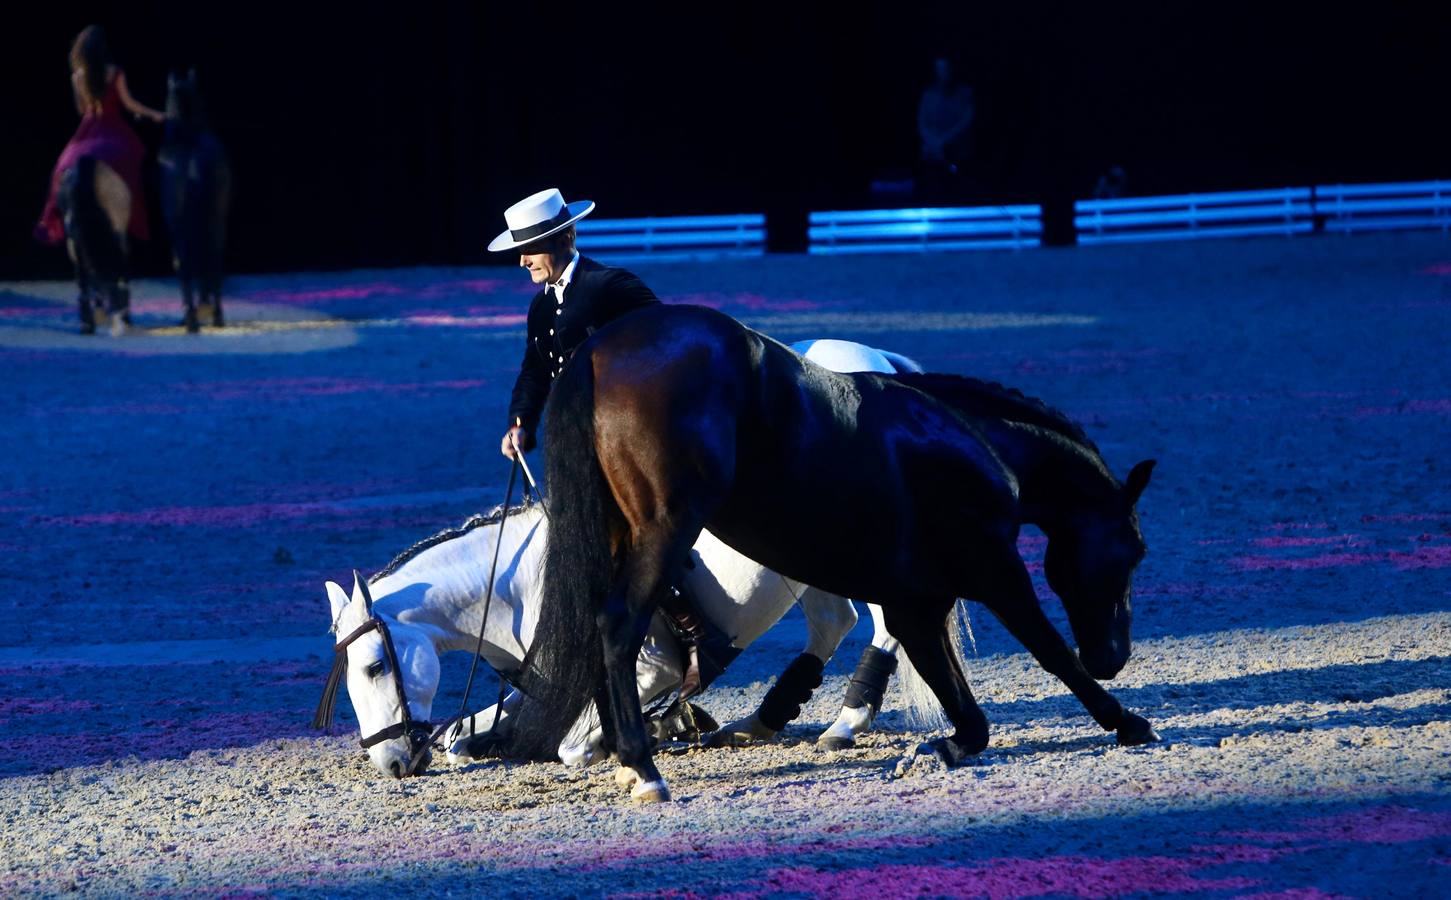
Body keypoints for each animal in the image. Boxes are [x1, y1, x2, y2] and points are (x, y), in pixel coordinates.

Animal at [158, 69, 229, 330]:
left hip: (180, 224)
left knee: (185, 263)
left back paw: (191, 319)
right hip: (215, 220)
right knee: (213, 259)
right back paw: (215, 315)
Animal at [510, 306, 1154, 807]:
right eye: (1135, 550)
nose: (1114, 656)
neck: (968, 440)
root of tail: (599, 349)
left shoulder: (917, 602)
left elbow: (960, 700)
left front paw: (943, 745)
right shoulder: (996, 572)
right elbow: (1049, 650)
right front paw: (1126, 722)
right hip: (666, 531)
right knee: (619, 626)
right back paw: (643, 767)